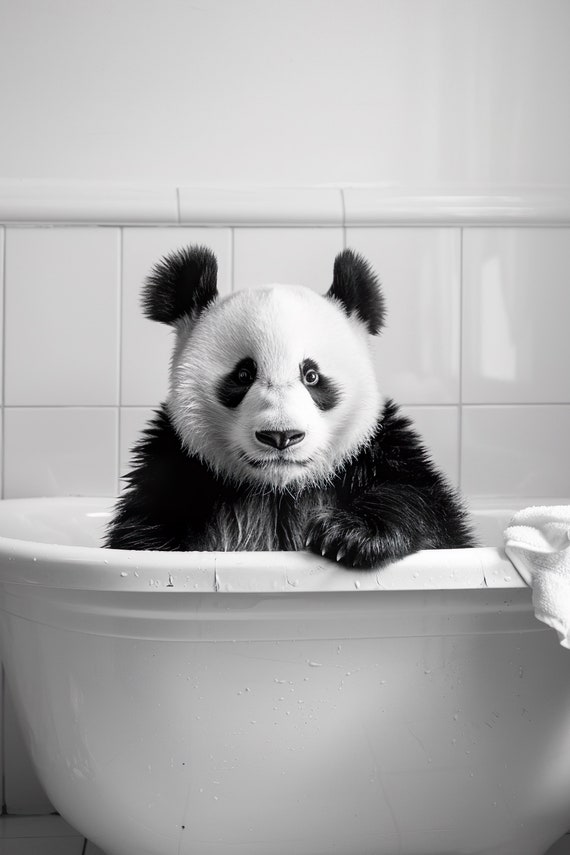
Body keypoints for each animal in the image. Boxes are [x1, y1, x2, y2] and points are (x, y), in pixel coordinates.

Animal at [105, 245, 474, 567]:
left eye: (311, 376)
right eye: (243, 375)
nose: (281, 436)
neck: (278, 491)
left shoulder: (377, 448)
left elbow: (424, 503)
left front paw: (350, 536)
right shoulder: (177, 464)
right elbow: (141, 530)